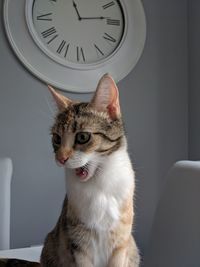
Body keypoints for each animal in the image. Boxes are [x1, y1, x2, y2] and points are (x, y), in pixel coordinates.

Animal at [0, 74, 139, 267]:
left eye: (82, 137)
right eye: (56, 138)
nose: (60, 158)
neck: (99, 185)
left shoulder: (121, 242)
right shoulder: (78, 241)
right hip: (51, 244)